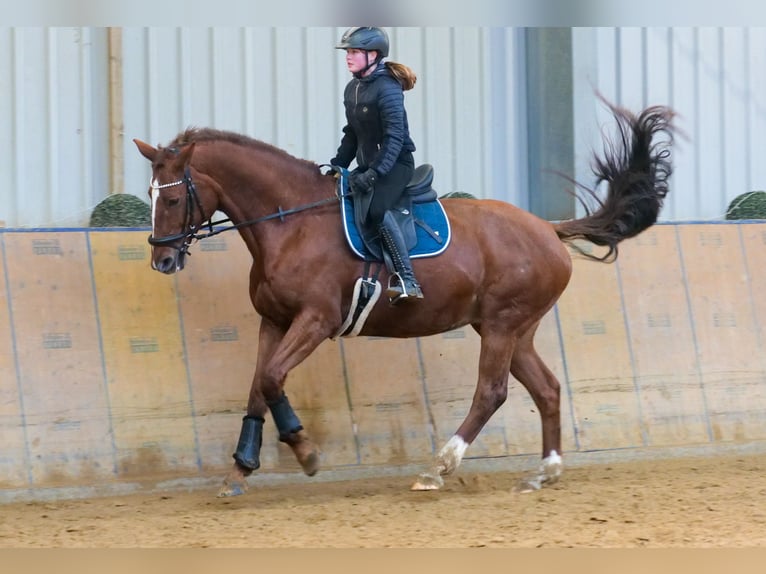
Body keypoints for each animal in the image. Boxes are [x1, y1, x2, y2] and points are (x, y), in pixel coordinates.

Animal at [135, 100, 676, 500]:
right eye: (151, 195)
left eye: (174, 199)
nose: (162, 261)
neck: (291, 223)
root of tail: (547, 228)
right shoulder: (274, 321)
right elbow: (258, 387)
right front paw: (240, 470)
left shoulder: (316, 320)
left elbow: (270, 380)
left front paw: (306, 452)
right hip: (512, 329)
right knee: (546, 388)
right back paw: (544, 472)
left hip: (504, 325)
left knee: (492, 391)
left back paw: (439, 467)